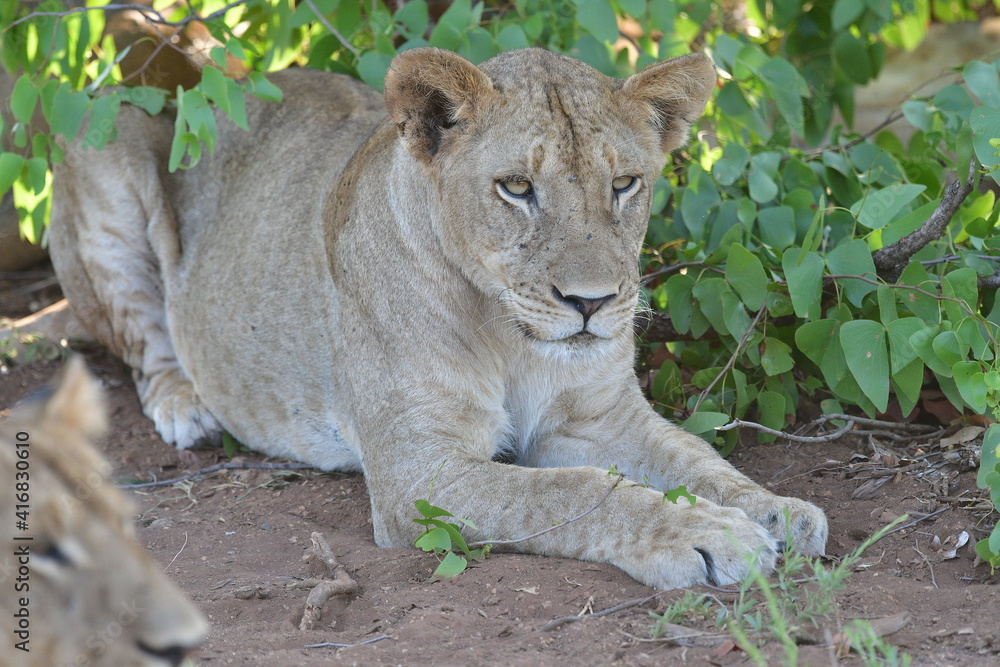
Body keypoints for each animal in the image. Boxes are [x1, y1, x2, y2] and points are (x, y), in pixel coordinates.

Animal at [49, 48, 827, 589]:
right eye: (516, 188)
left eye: (624, 183)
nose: (592, 303)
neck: (512, 338)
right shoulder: (417, 471)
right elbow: (574, 490)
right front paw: (706, 534)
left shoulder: (598, 418)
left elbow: (695, 456)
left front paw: (777, 510)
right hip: (106, 140)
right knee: (142, 342)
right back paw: (187, 408)